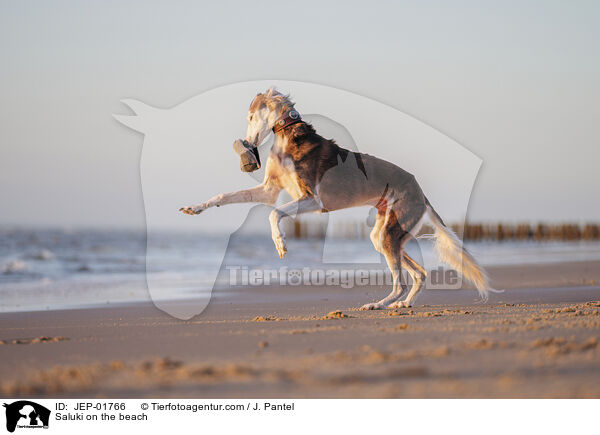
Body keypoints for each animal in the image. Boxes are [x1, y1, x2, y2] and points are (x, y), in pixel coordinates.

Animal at [179, 87, 496, 310]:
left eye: (249, 116)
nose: (248, 145)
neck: (287, 136)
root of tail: (420, 192)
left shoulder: (313, 199)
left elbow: (274, 213)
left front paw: (280, 243)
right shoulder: (269, 190)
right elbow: (226, 196)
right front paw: (195, 207)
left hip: (392, 232)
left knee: (401, 282)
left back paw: (379, 304)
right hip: (385, 234)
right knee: (419, 274)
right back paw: (402, 305)